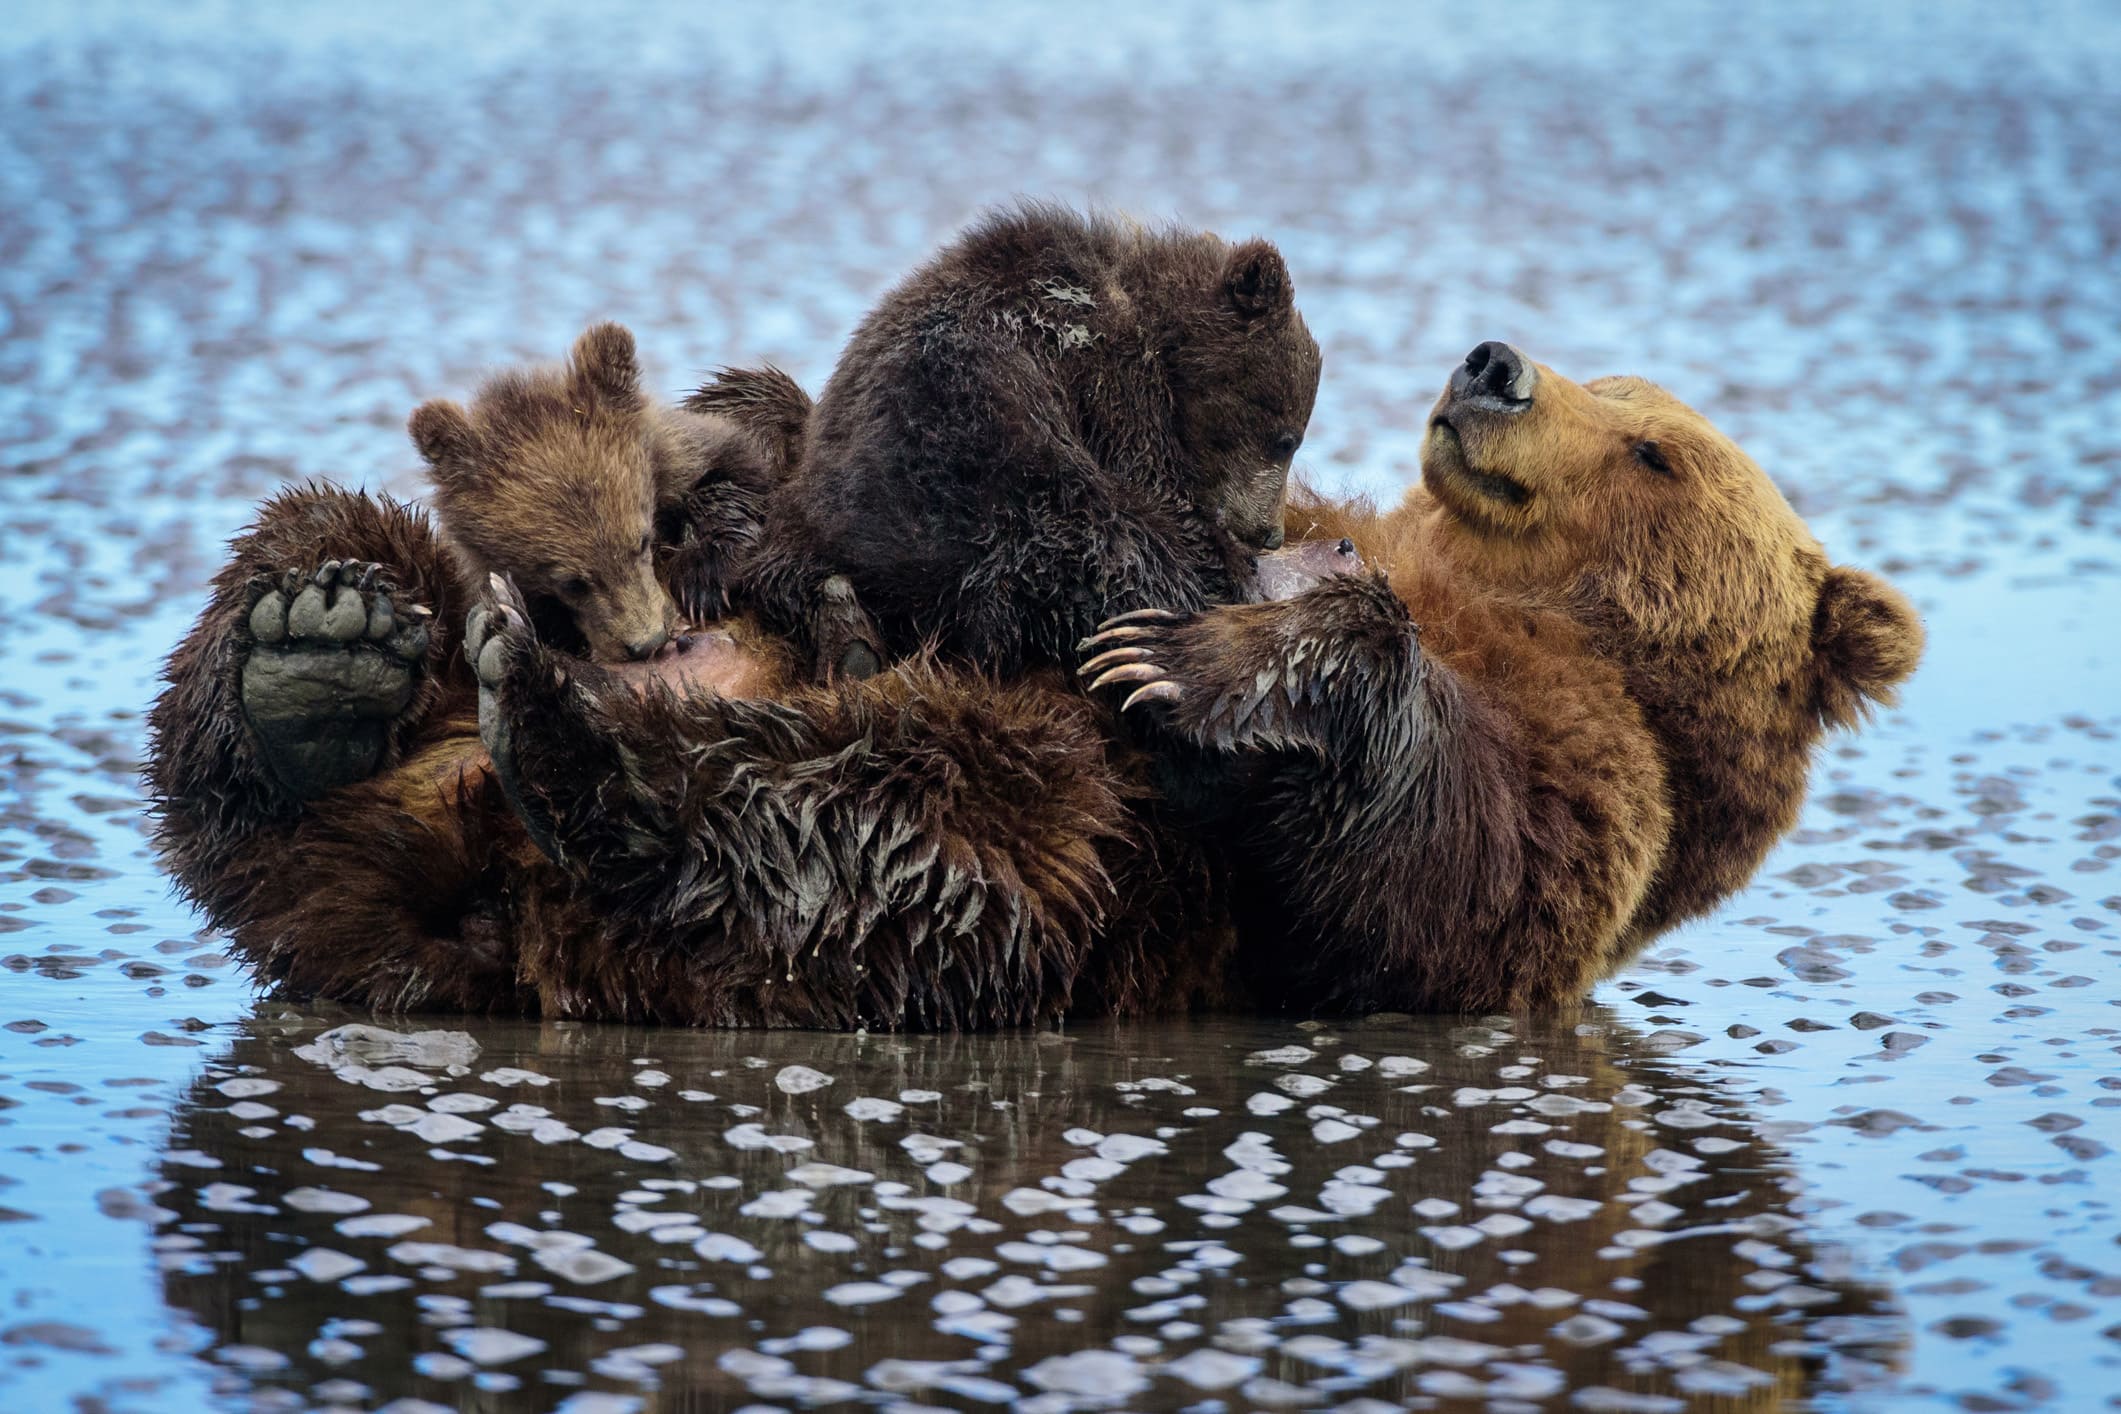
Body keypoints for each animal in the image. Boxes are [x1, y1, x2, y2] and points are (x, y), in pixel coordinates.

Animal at [738, 203, 1315, 678]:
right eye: (1286, 438)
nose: (1270, 533)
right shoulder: (1109, 375)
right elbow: (1151, 482)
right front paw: (1227, 558)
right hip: (1000, 485)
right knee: (1114, 545)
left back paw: (849, 640)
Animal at [1085, 339, 1934, 1017]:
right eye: (1604, 382)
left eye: (1652, 453)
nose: (1495, 366)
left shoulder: (1587, 784)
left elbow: (1427, 885)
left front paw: (1177, 659)